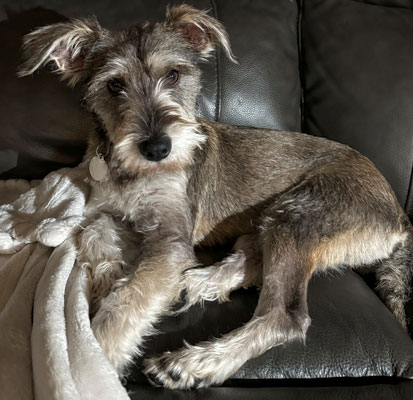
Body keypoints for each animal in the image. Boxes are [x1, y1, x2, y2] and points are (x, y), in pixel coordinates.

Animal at [19, 4, 412, 390]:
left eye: (174, 75)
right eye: (114, 85)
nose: (157, 148)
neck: (132, 174)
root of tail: (399, 218)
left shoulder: (172, 237)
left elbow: (127, 301)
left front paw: (97, 358)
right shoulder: (113, 212)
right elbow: (94, 230)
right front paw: (111, 274)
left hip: (300, 214)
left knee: (284, 315)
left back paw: (190, 363)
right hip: (272, 221)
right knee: (253, 260)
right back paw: (193, 285)